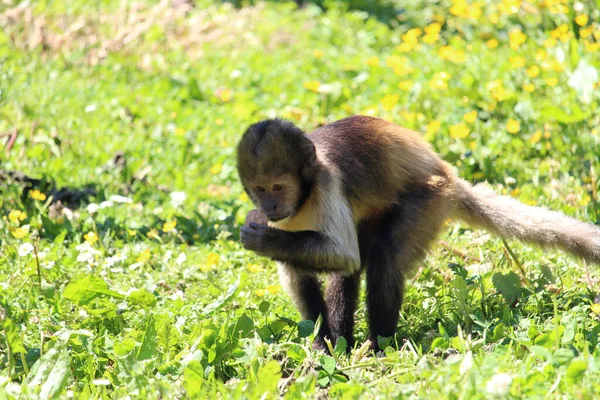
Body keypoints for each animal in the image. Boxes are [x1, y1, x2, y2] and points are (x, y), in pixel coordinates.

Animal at [236, 115, 600, 350]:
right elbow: (305, 266)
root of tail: (446, 172)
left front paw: (262, 239)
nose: (270, 205)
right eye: (260, 189)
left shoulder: (327, 183)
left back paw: (378, 346)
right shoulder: (289, 216)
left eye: (278, 187)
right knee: (342, 265)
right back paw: (339, 345)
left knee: (382, 254)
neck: (306, 192)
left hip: (430, 200)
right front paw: (319, 343)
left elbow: (343, 254)